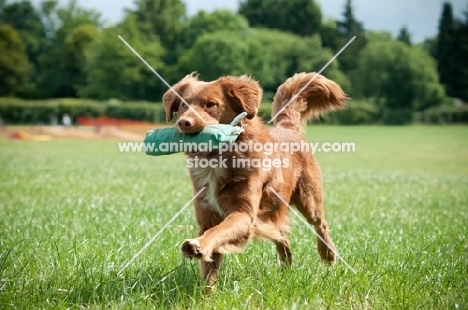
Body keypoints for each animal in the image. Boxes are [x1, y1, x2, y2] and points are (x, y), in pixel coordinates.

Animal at [163, 72, 350, 286]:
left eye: (211, 104)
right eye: (183, 105)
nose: (183, 122)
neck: (218, 159)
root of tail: (287, 127)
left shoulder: (244, 214)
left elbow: (218, 231)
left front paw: (197, 245)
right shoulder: (208, 216)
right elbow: (211, 262)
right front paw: (205, 291)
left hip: (308, 199)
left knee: (320, 223)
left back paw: (328, 254)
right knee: (281, 236)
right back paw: (286, 269)